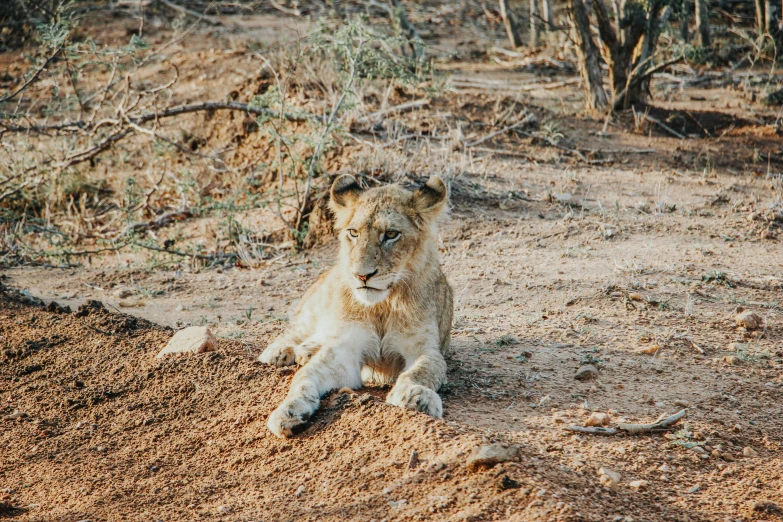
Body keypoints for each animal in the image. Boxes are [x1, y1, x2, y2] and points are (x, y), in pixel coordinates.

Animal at [258, 174, 454, 434]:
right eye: (353, 232)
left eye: (391, 234)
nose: (361, 275)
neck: (383, 304)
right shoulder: (345, 348)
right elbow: (305, 377)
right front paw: (288, 410)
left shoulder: (424, 347)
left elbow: (420, 372)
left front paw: (416, 397)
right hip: (315, 305)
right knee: (297, 329)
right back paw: (280, 352)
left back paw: (307, 350)